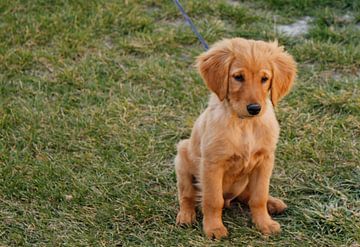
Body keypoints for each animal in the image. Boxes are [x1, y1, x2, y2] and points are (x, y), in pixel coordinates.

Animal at [174, 37, 296, 238]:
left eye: (265, 79)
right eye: (238, 77)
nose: (255, 109)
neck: (245, 125)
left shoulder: (265, 161)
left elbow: (259, 196)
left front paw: (264, 223)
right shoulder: (212, 164)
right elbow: (213, 200)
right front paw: (214, 228)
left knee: (247, 195)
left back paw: (273, 204)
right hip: (182, 160)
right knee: (187, 196)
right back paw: (185, 216)